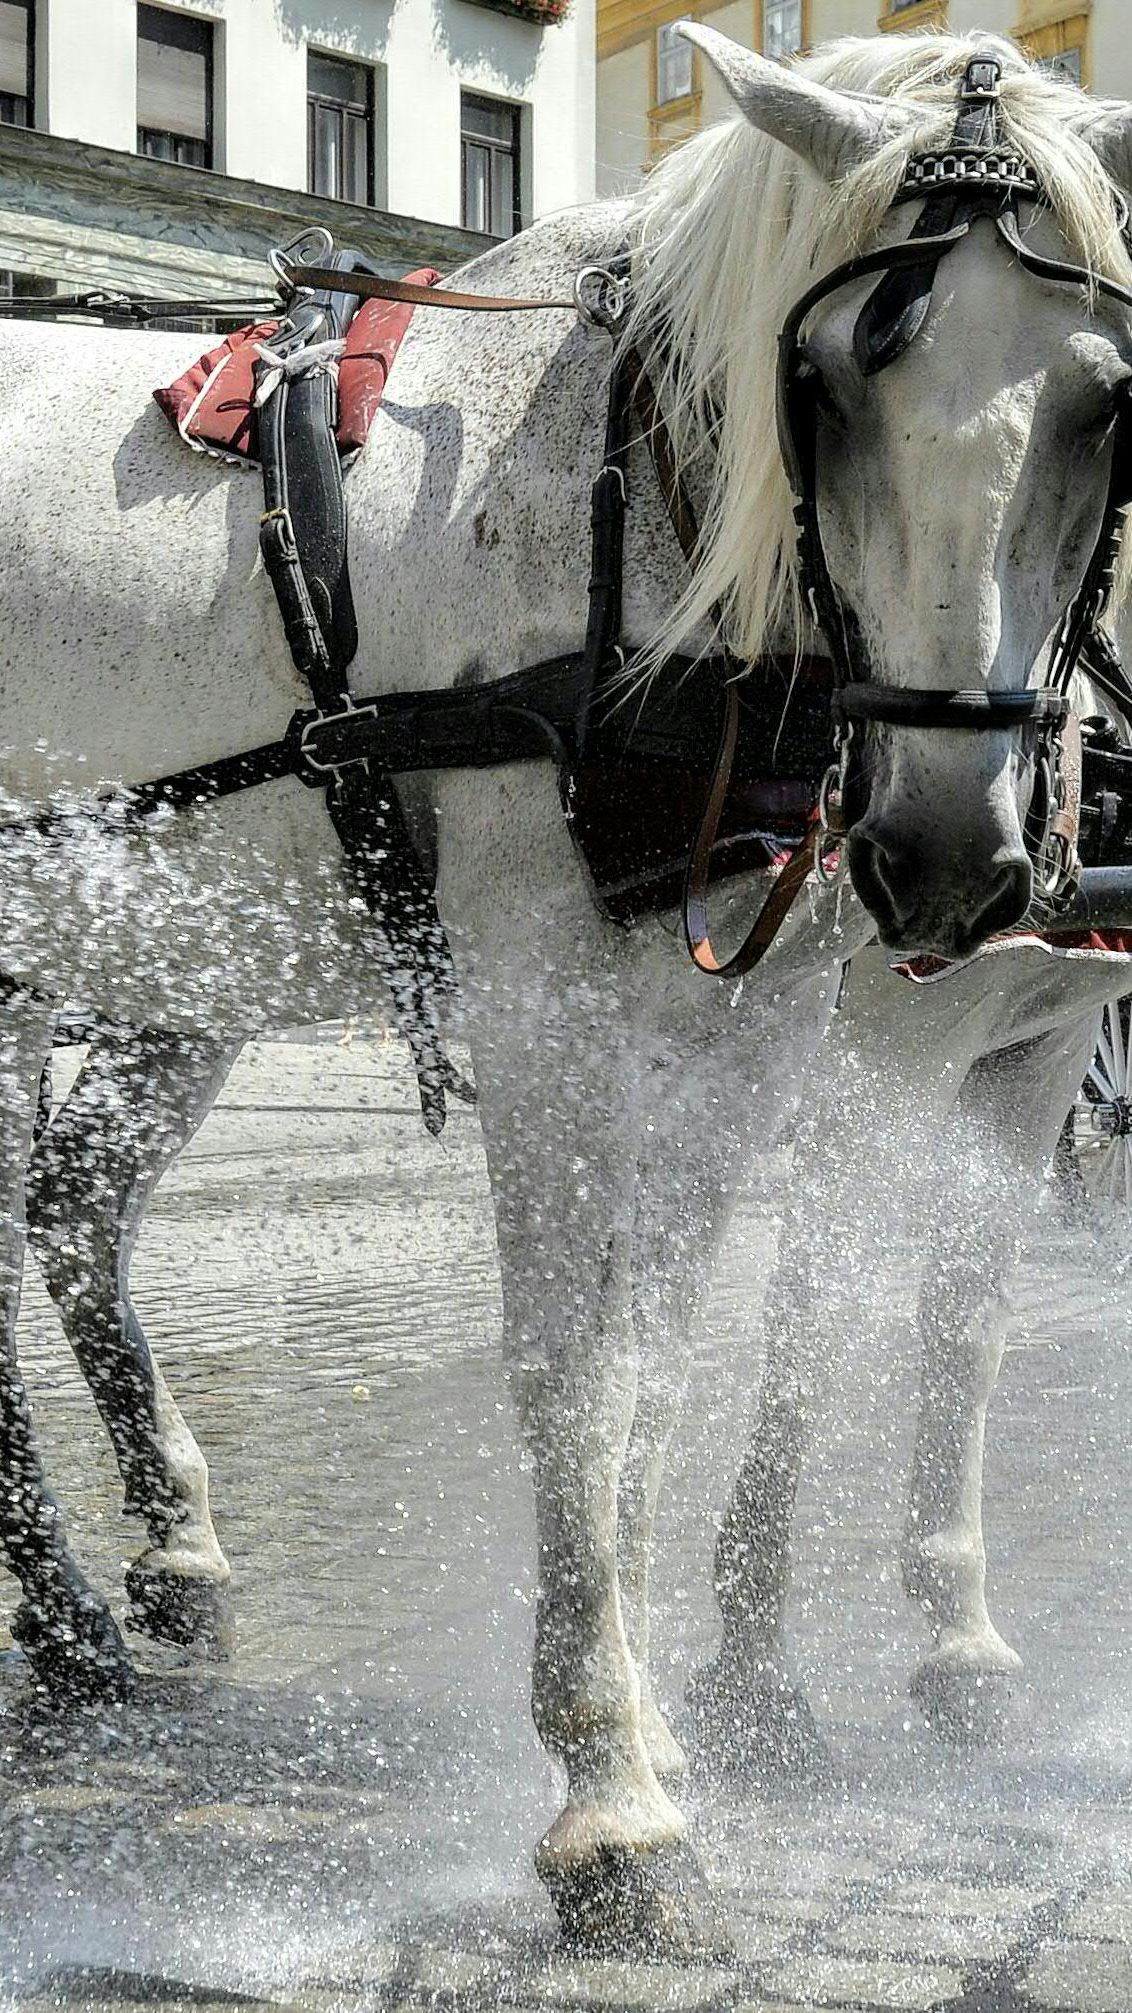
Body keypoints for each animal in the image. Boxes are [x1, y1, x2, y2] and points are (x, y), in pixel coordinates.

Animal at [2, 21, 1131, 1952]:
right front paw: (613, 1797)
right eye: (824, 371)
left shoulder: (760, 1036)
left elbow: (678, 1362)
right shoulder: (568, 1021)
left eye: (1105, 397)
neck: (640, 522)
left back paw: (135, 1577)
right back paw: (77, 1608)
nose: (945, 851)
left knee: (78, 1204)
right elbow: (576, 1367)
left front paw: (676, 1724)